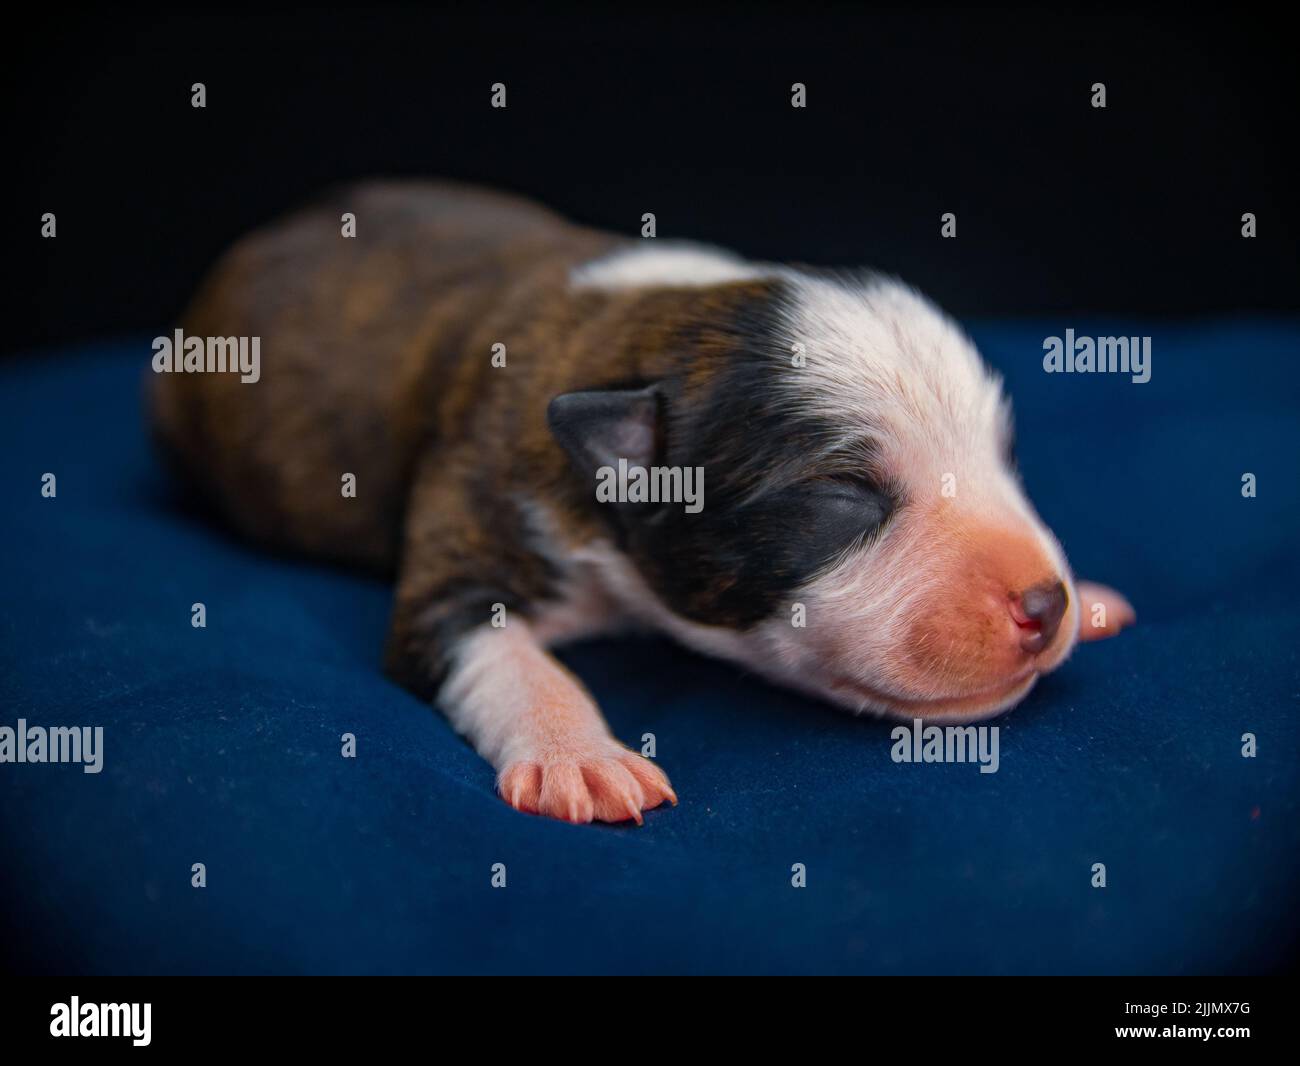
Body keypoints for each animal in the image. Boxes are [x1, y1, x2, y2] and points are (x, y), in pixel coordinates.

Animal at [149, 180, 1128, 826]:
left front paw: (1095, 599)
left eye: (1004, 458)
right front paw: (578, 758)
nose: (1046, 603)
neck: (650, 326)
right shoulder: (472, 508)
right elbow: (499, 650)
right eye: (845, 495)